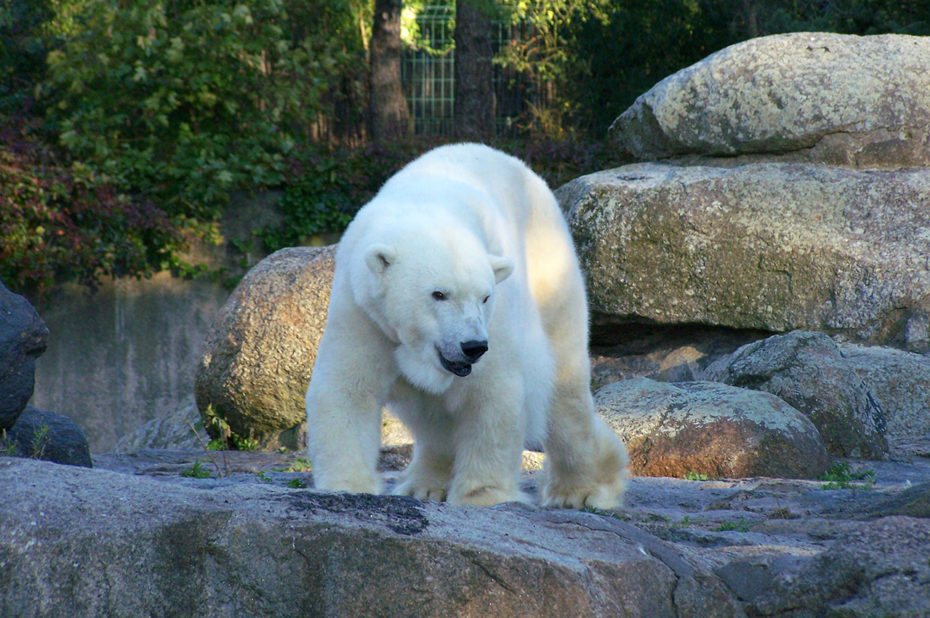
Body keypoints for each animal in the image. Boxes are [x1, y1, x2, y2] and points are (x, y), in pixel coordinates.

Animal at [308, 143, 628, 506]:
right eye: (438, 294)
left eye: (485, 297)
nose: (473, 347)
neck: (424, 206)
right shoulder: (364, 311)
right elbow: (347, 387)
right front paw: (346, 485)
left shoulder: (496, 320)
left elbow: (490, 393)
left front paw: (483, 495)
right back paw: (425, 484)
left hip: (550, 273)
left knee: (564, 394)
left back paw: (582, 490)